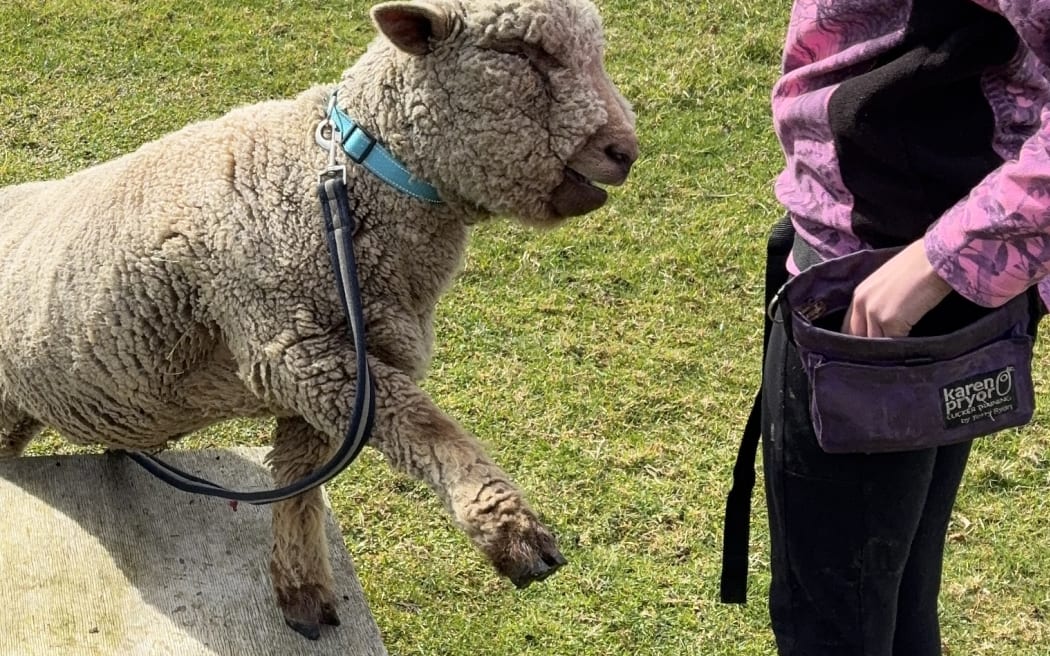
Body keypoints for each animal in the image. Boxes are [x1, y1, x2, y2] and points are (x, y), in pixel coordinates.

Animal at [0, 0, 638, 639]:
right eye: (521, 52)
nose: (625, 151)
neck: (345, 178)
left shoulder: (332, 369)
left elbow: (299, 485)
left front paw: (301, 590)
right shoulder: (293, 346)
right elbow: (424, 425)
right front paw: (511, 532)